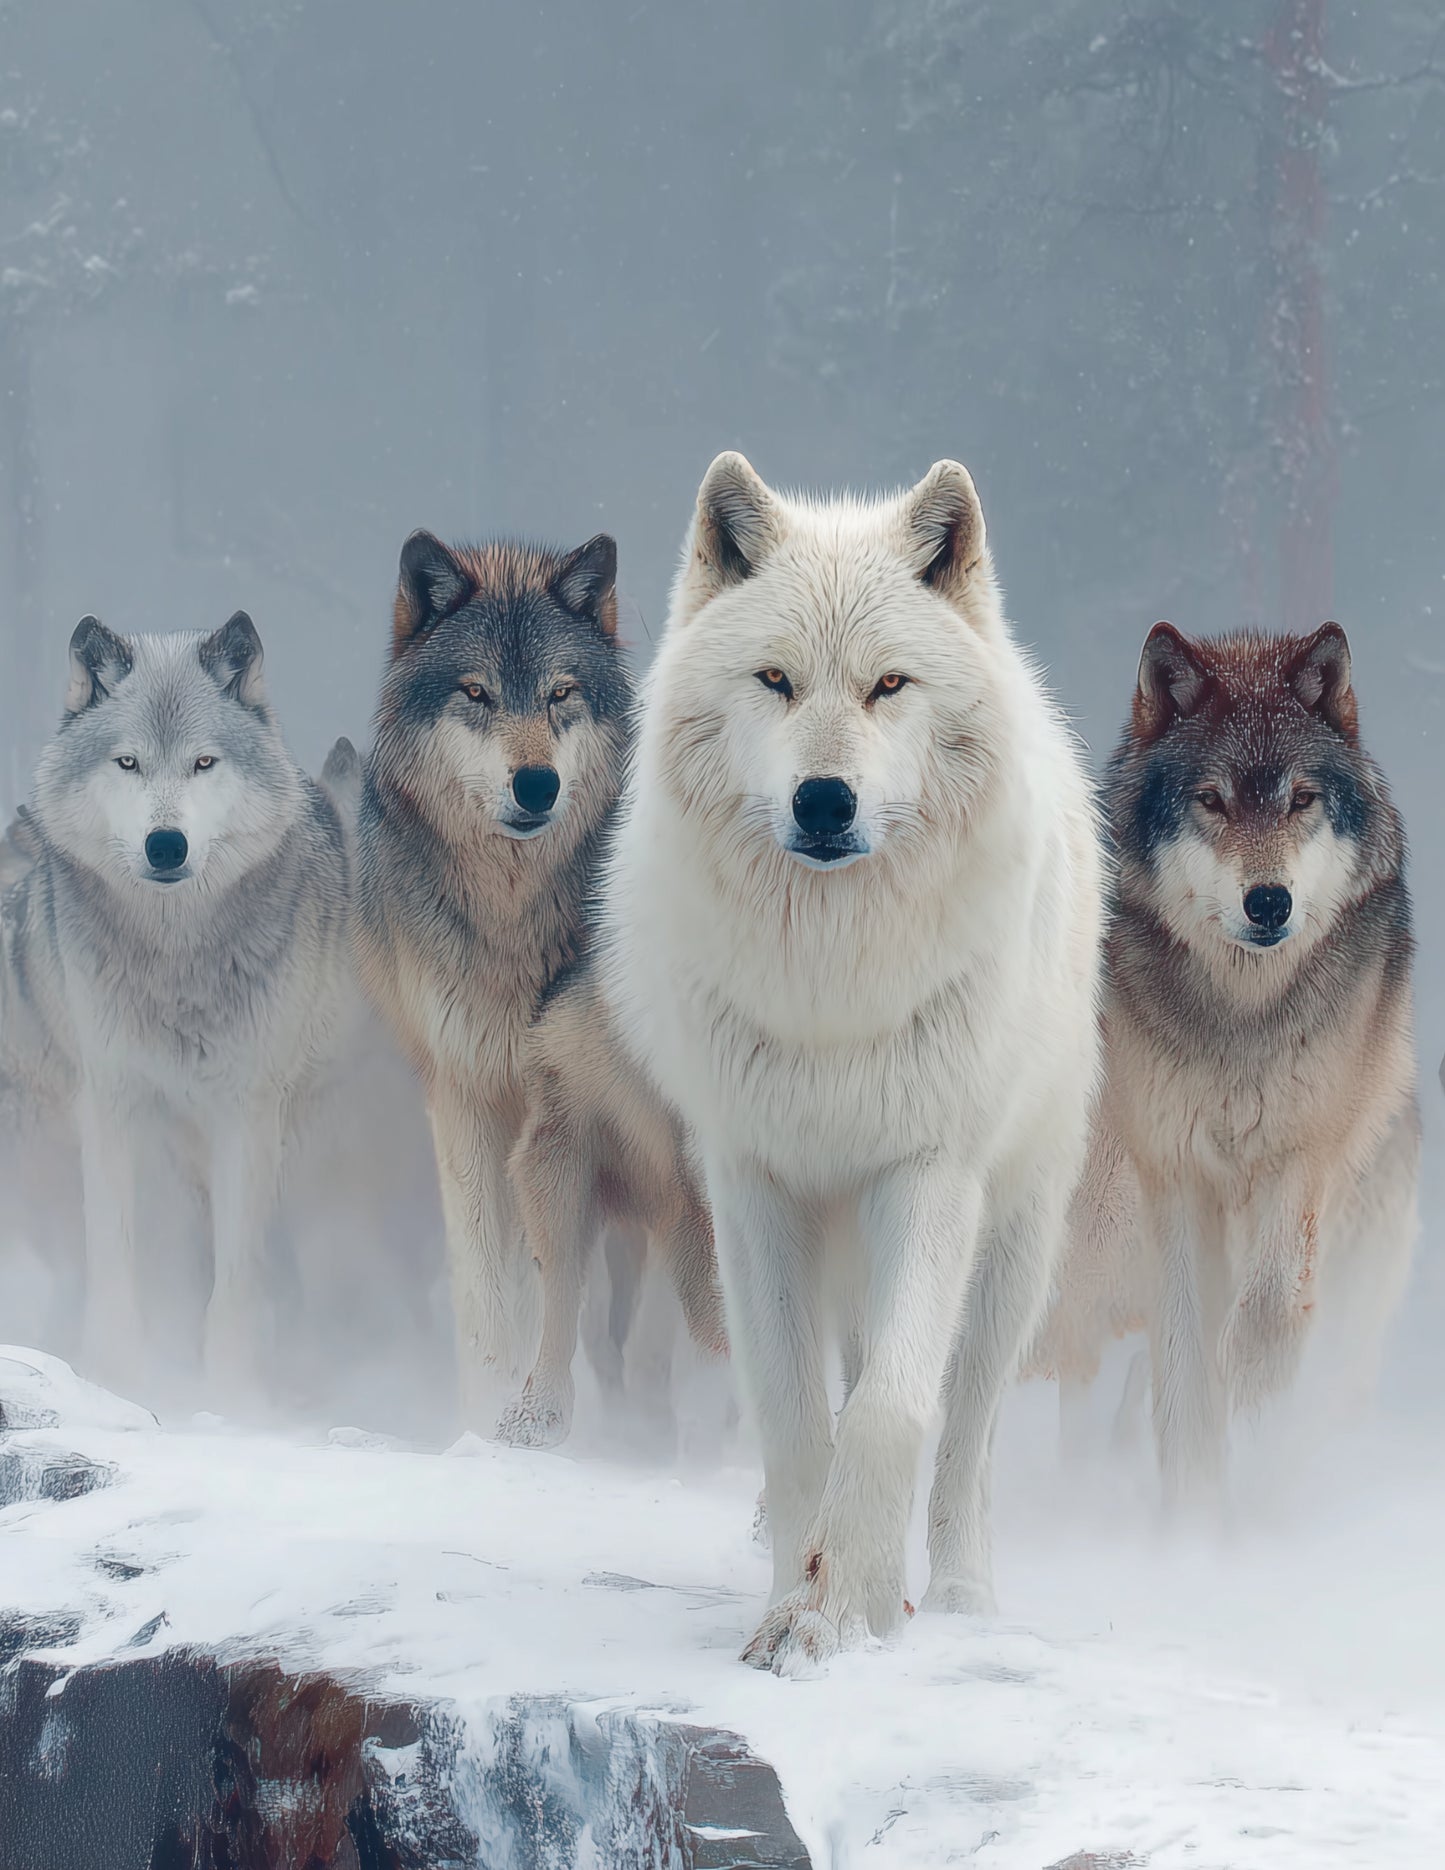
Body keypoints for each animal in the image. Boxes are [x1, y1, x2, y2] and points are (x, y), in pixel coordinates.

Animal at [2, 612, 353, 1396]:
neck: (175, 963)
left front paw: (234, 1399)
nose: (167, 844)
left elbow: (237, 1276)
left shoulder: (247, 1115)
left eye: (203, 763)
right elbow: (115, 1258)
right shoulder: (109, 1103)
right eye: (128, 763)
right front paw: (119, 1378)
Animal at [355, 530, 723, 1429]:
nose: (535, 783)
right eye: (476, 693)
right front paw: (488, 1416)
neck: (515, 921)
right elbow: (490, 1291)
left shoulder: (633, 1115)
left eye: (560, 693)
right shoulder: (469, 1095)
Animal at [601, 452, 1103, 1674]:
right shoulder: (753, 1188)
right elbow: (794, 1418)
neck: (830, 982)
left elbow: (889, 1410)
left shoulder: (924, 1175)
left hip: (1011, 1251)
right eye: (775, 680)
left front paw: (845, 1612)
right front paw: (799, 1599)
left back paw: (959, 1596)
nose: (823, 801)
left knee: (963, 1437)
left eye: (888, 686)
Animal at [1035, 622, 1418, 1505]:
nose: (1268, 902)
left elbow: (1263, 1322)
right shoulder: (1175, 1173)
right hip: (1105, 1227)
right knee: (1087, 1356)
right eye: (1210, 800)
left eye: (1300, 799)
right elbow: (1182, 1359)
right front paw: (1192, 1507)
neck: (1241, 1019)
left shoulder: (1295, 1160)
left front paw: (1254, 1451)